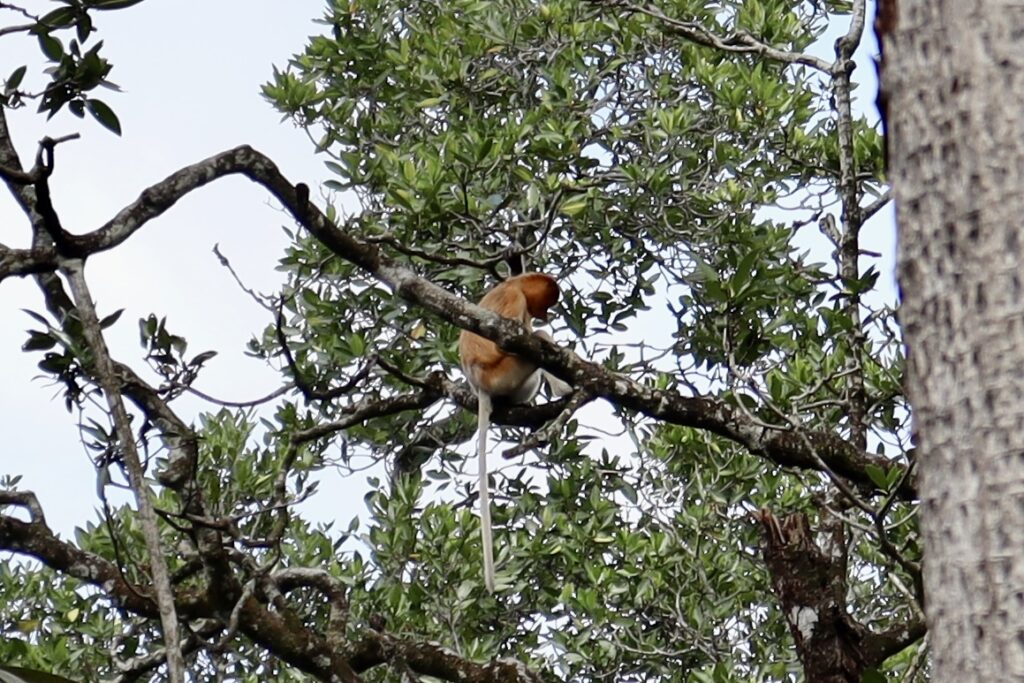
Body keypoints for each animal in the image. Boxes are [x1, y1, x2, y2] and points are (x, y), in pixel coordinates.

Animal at [458, 272, 573, 593]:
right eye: (547, 302)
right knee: (540, 341)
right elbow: (512, 341)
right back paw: (565, 388)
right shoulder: (515, 300)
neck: (515, 283)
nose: (545, 314)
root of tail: (479, 386)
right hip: (505, 374)